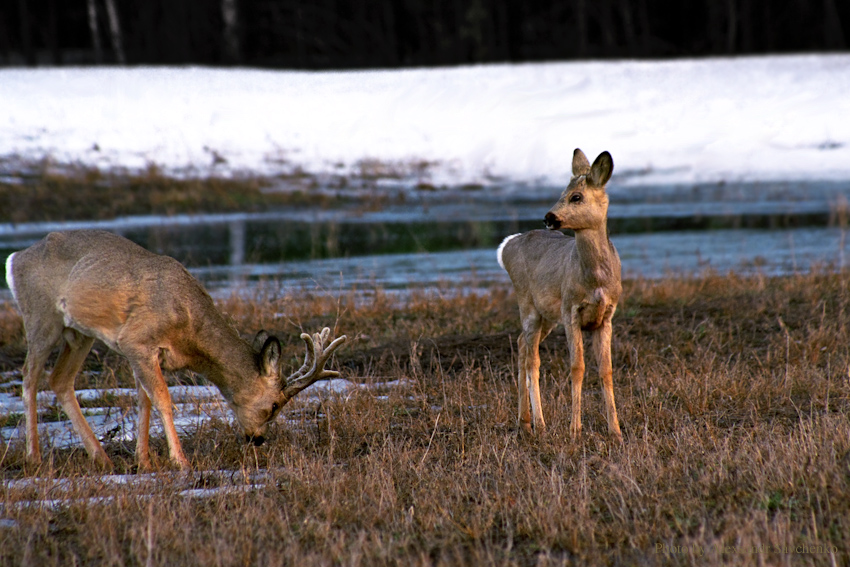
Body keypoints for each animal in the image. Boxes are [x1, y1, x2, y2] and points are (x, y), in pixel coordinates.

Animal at [5, 230, 344, 470]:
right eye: (274, 405)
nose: (257, 439)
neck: (187, 326)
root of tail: (15, 258)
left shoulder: (149, 354)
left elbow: (145, 401)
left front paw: (144, 461)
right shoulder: (136, 340)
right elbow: (163, 400)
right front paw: (180, 461)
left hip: (79, 332)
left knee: (60, 380)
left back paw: (102, 458)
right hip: (41, 316)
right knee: (29, 377)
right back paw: (34, 457)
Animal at [496, 149, 624, 442]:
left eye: (576, 196)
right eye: (562, 191)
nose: (549, 217)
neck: (595, 281)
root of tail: (507, 246)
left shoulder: (607, 316)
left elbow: (606, 369)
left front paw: (616, 431)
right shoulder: (571, 310)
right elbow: (577, 367)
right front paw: (575, 430)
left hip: (547, 317)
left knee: (521, 344)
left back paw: (524, 422)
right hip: (528, 304)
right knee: (532, 359)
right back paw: (539, 424)